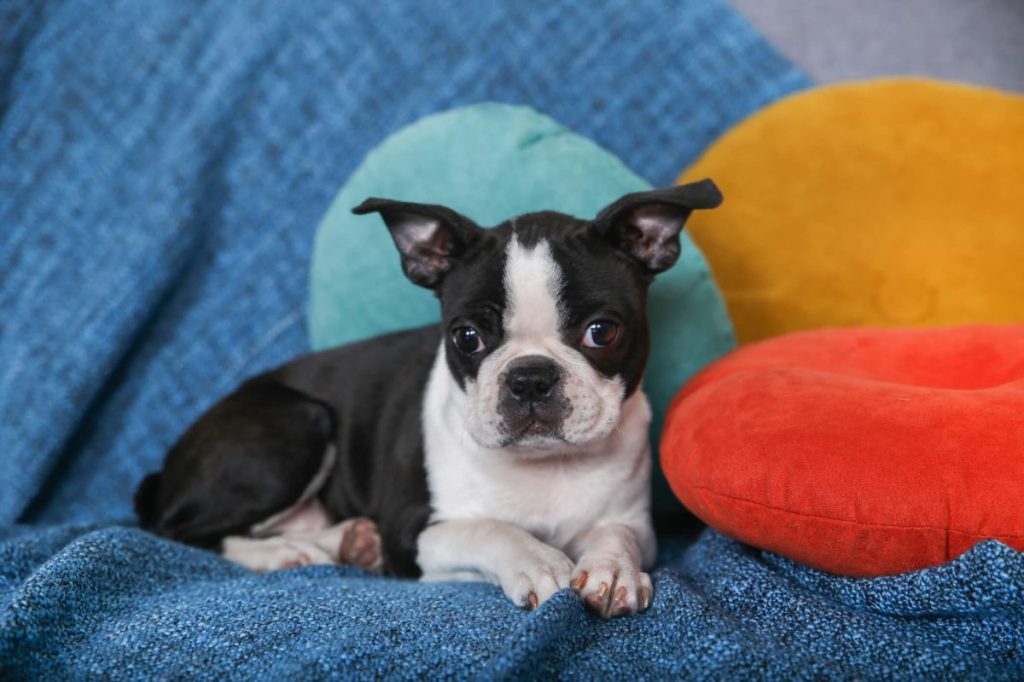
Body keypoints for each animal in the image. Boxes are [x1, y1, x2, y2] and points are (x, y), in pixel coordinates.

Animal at [134, 179, 720, 614]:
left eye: (603, 332)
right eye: (467, 337)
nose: (530, 377)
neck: (544, 466)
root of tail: (167, 468)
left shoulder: (634, 522)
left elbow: (616, 536)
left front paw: (612, 570)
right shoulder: (413, 533)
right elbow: (490, 529)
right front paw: (539, 561)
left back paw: (344, 542)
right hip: (295, 427)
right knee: (181, 532)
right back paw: (283, 553)